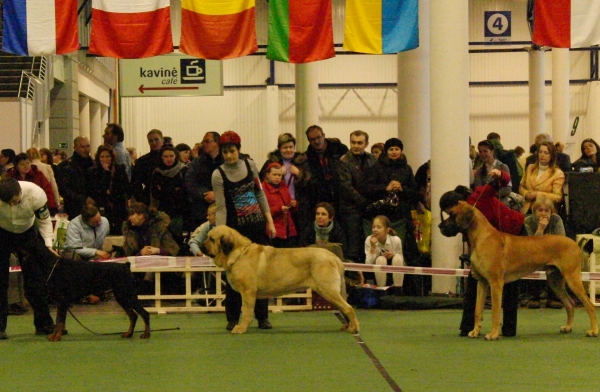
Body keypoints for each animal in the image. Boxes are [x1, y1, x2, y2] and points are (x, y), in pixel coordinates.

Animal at [202, 225, 360, 336]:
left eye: (211, 239)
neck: (240, 253)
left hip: (327, 290)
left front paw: (240, 328)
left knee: (348, 308)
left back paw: (354, 328)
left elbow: (246, 311)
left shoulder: (247, 292)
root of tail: (334, 257)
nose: (202, 246)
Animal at [438, 202, 596, 340]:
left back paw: (593, 331)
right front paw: (475, 331)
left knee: (590, 305)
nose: (439, 226)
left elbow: (495, 311)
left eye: (452, 215)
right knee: (570, 303)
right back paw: (568, 327)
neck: (482, 238)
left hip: (572, 278)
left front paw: (493, 334)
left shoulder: (495, 284)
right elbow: (478, 309)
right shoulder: (482, 282)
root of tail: (574, 243)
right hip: (555, 281)